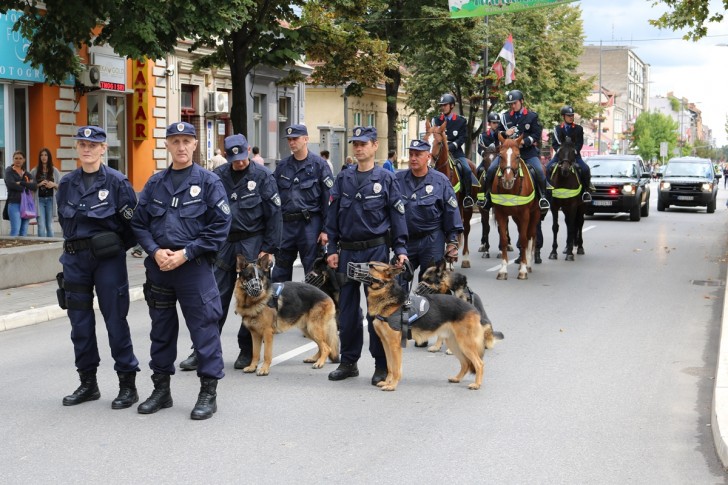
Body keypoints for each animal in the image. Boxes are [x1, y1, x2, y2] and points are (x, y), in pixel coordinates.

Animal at [348, 260, 490, 390]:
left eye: (371, 265)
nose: (349, 265)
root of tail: (472, 307)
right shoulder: (386, 343)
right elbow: (390, 366)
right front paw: (387, 382)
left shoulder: (394, 345)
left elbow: (396, 368)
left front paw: (392, 385)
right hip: (454, 343)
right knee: (465, 363)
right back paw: (457, 378)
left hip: (465, 344)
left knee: (479, 363)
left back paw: (477, 384)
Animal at [424, 118, 480, 268]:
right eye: (425, 140)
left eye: (438, 142)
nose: (428, 164)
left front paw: (449, 260)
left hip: (467, 207)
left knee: (465, 228)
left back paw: (464, 258)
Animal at [490, 133, 540, 280]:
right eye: (500, 156)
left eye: (517, 156)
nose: (508, 181)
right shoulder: (501, 214)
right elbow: (504, 240)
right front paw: (503, 270)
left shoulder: (525, 214)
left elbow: (523, 240)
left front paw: (523, 270)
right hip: (516, 218)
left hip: (535, 214)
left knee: (530, 235)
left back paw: (527, 264)